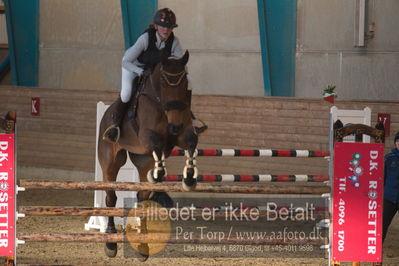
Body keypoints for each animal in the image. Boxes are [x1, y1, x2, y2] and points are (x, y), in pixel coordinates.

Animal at [97, 50, 198, 260]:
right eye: (163, 82)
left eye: (185, 82)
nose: (174, 125)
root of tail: (105, 115)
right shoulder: (147, 136)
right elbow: (157, 143)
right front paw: (161, 174)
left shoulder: (183, 134)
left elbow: (192, 143)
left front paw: (189, 178)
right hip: (111, 162)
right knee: (111, 197)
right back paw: (110, 242)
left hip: (142, 162)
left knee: (141, 197)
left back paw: (142, 245)